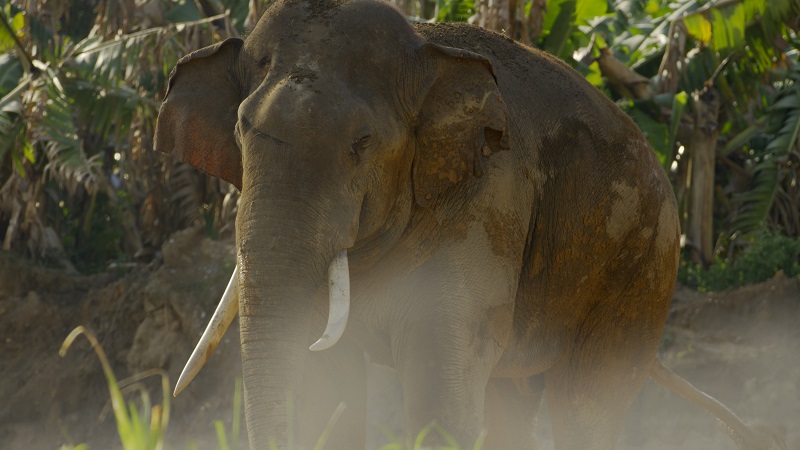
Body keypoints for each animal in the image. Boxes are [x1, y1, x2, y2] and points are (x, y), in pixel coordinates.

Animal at [153, 0, 784, 450]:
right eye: (240, 130)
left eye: (362, 142)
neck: (424, 46)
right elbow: (327, 382)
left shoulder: (488, 202)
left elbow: (438, 378)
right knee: (512, 399)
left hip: (641, 264)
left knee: (584, 403)